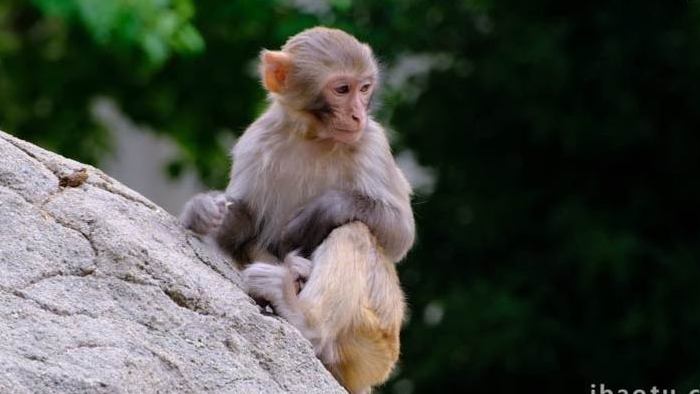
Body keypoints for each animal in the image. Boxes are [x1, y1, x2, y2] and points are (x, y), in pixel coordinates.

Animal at [179, 26, 416, 390]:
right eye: (342, 89)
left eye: (364, 88)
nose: (358, 115)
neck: (314, 137)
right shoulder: (256, 140)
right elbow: (243, 220)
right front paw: (202, 212)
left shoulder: (373, 143)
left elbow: (400, 233)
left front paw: (320, 212)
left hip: (378, 337)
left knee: (355, 230)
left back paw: (302, 316)